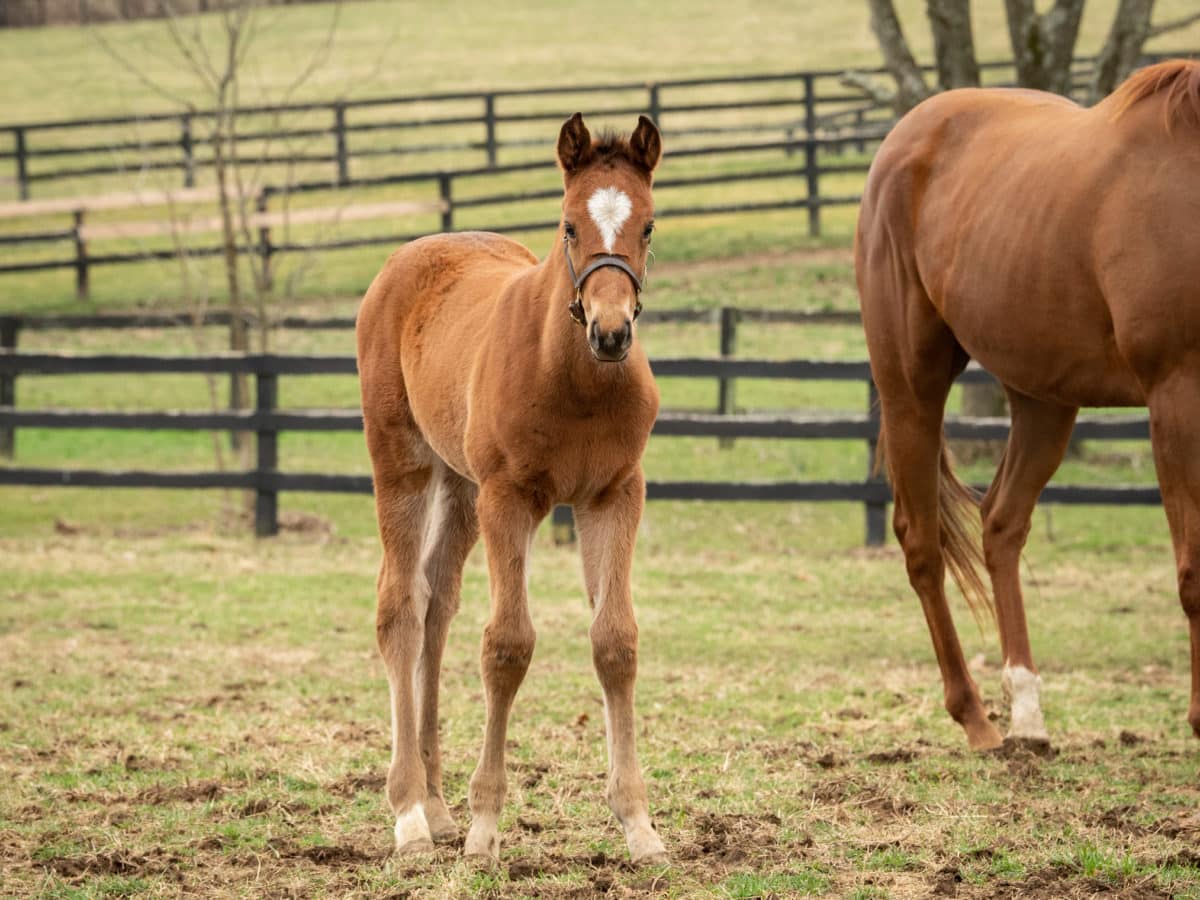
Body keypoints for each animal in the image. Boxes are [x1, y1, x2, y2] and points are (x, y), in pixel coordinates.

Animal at [355, 112, 672, 868]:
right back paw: (411, 816)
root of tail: (410, 256)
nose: (611, 332)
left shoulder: (614, 495)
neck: (576, 379)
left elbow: (615, 641)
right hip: (405, 465)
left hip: (460, 485)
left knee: (436, 605)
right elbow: (508, 646)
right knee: (399, 609)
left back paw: (437, 808)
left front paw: (638, 826)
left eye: (648, 225)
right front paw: (484, 830)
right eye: (567, 225)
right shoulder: (510, 499)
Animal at [859, 61, 1200, 753]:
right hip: (911, 388)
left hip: (1044, 399)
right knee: (922, 543)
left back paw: (1027, 714)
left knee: (1000, 523)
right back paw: (977, 717)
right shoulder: (1176, 395)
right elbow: (1195, 572)